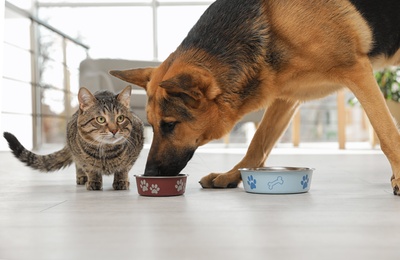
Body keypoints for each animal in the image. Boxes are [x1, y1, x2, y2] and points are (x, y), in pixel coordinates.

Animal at [2, 86, 144, 190]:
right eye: (101, 119)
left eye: (120, 118)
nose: (114, 130)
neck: (106, 151)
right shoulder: (80, 155)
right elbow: (89, 168)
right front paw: (93, 181)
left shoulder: (136, 148)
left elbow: (124, 168)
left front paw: (121, 180)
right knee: (78, 165)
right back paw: (82, 177)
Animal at [111, 0, 400, 194]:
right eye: (151, 125)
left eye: (170, 125)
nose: (149, 173)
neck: (272, 21)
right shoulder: (286, 98)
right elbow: (258, 143)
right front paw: (232, 175)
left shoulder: (357, 73)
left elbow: (386, 134)